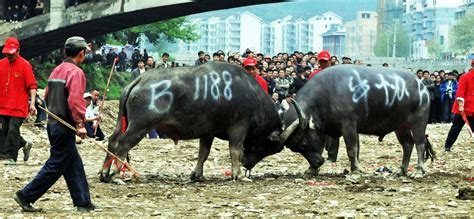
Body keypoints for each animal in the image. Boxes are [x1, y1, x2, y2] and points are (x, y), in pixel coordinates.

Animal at [100, 62, 304, 183]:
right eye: (268, 148)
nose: (248, 165)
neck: (250, 94)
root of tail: (139, 80)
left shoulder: (208, 132)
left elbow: (203, 153)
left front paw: (197, 175)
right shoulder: (239, 127)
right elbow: (235, 150)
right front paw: (238, 174)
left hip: (124, 122)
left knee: (112, 140)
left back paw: (104, 173)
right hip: (140, 125)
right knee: (123, 144)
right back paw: (116, 175)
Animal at [244, 65, 434, 178]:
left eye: (303, 143)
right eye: (296, 148)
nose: (317, 162)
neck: (326, 94)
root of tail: (421, 86)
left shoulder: (349, 125)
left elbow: (352, 149)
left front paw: (355, 171)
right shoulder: (326, 128)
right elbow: (323, 146)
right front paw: (311, 170)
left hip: (418, 121)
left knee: (419, 143)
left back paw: (418, 171)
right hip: (400, 126)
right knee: (407, 144)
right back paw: (400, 171)